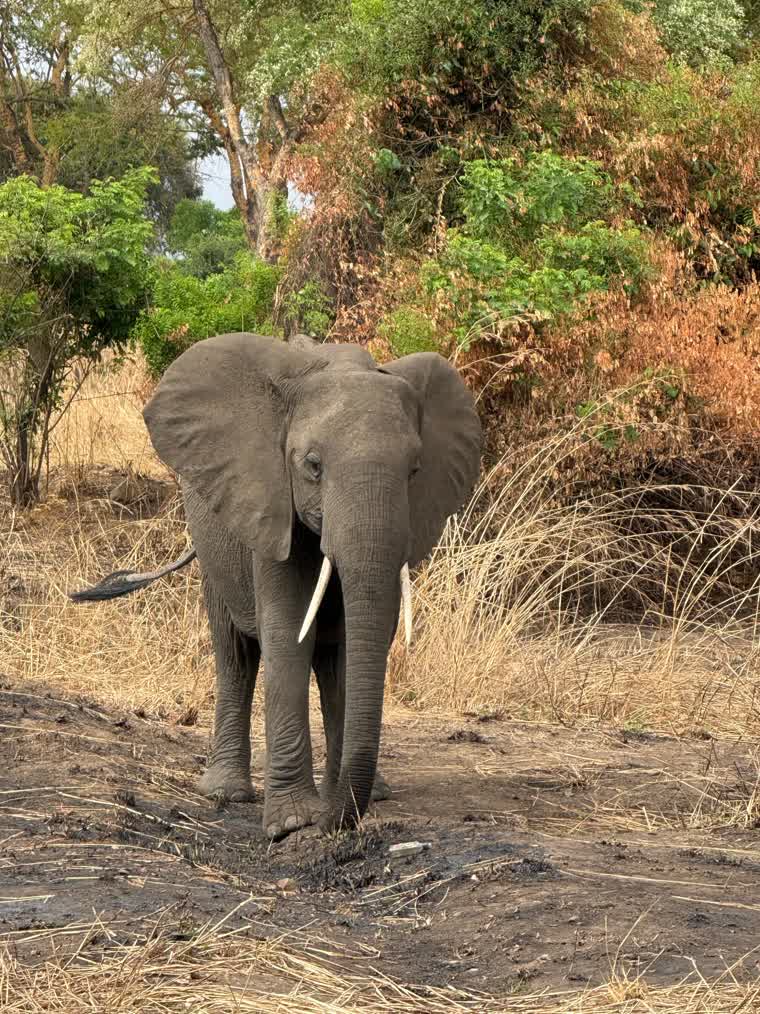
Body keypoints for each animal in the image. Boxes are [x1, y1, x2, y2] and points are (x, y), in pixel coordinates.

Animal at [71, 332, 481, 838]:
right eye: (313, 466)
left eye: (415, 471)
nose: (333, 826)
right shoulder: (268, 505)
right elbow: (286, 633)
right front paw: (293, 822)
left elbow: (355, 642)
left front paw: (329, 807)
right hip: (213, 538)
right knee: (236, 653)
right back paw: (226, 792)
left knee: (327, 660)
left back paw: (372, 790)